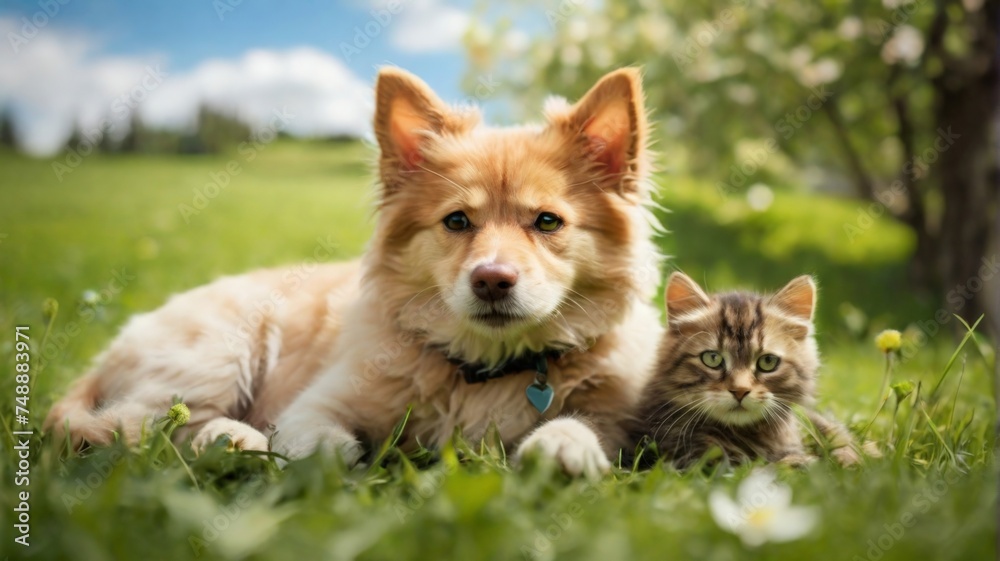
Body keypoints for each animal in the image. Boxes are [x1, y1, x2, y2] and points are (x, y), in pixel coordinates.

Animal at [45, 66, 664, 476]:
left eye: (547, 221)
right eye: (457, 221)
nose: (492, 280)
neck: (486, 367)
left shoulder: (622, 415)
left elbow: (586, 424)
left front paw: (564, 446)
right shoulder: (316, 402)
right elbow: (324, 440)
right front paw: (318, 455)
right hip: (219, 352)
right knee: (148, 426)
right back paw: (236, 440)